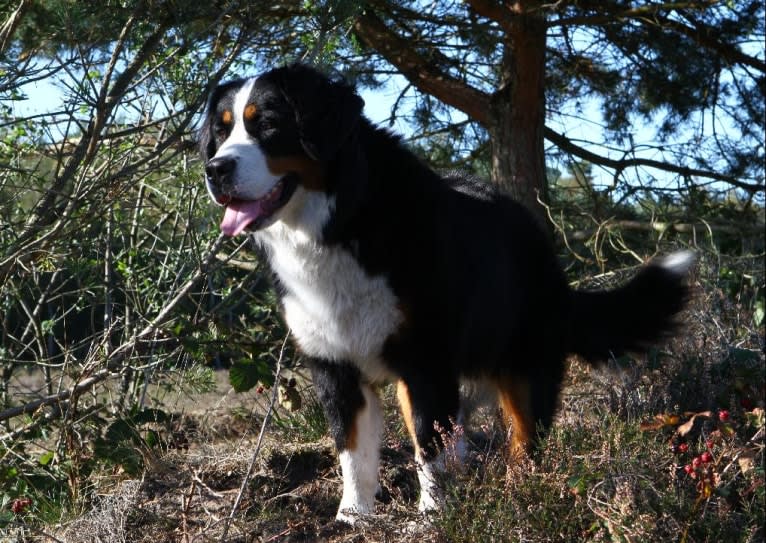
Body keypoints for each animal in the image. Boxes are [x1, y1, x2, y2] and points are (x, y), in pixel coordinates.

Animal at [200, 65, 696, 528]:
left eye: (266, 123)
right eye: (221, 132)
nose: (215, 169)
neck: (338, 224)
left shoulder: (425, 360)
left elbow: (429, 446)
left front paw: (434, 514)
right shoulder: (334, 366)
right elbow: (354, 453)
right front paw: (353, 516)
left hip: (524, 366)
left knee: (524, 439)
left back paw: (521, 495)